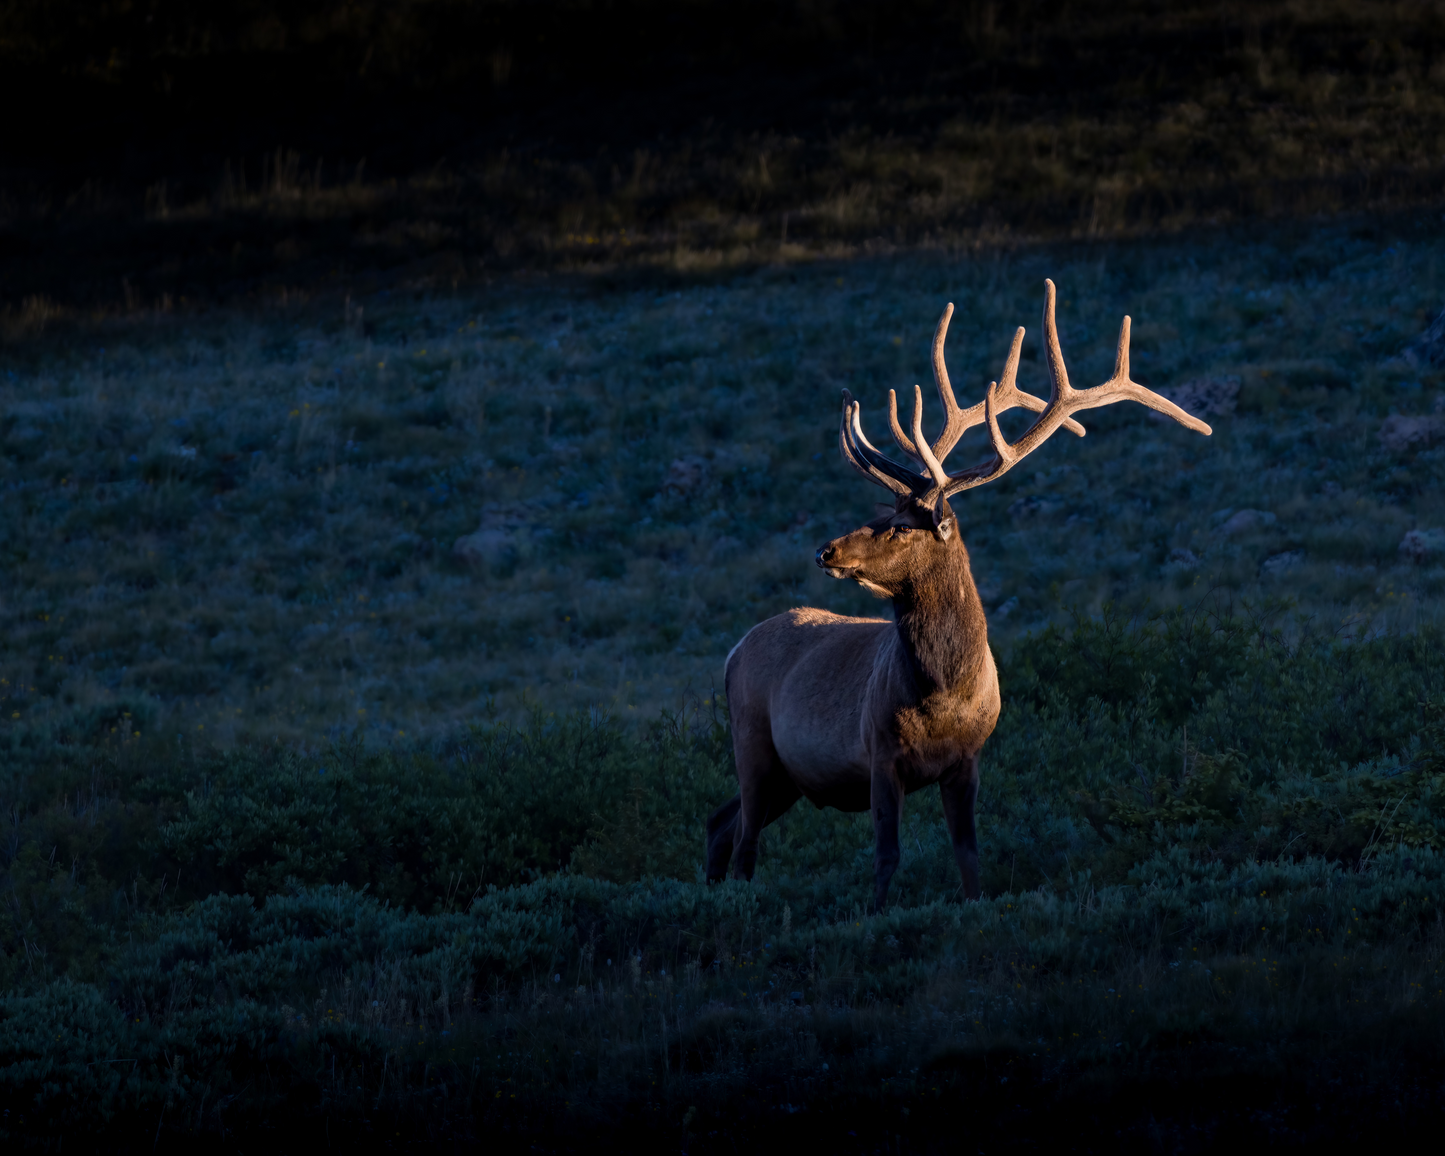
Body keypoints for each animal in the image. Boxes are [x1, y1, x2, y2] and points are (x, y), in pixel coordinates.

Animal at [705, 281, 1213, 913]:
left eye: (900, 526)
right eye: (882, 512)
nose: (826, 550)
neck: (943, 696)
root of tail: (734, 651)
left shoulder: (968, 761)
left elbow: (969, 854)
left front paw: (973, 905)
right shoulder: (878, 753)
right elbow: (886, 855)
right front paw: (875, 915)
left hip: (786, 777)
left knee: (721, 822)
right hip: (752, 744)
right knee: (743, 839)